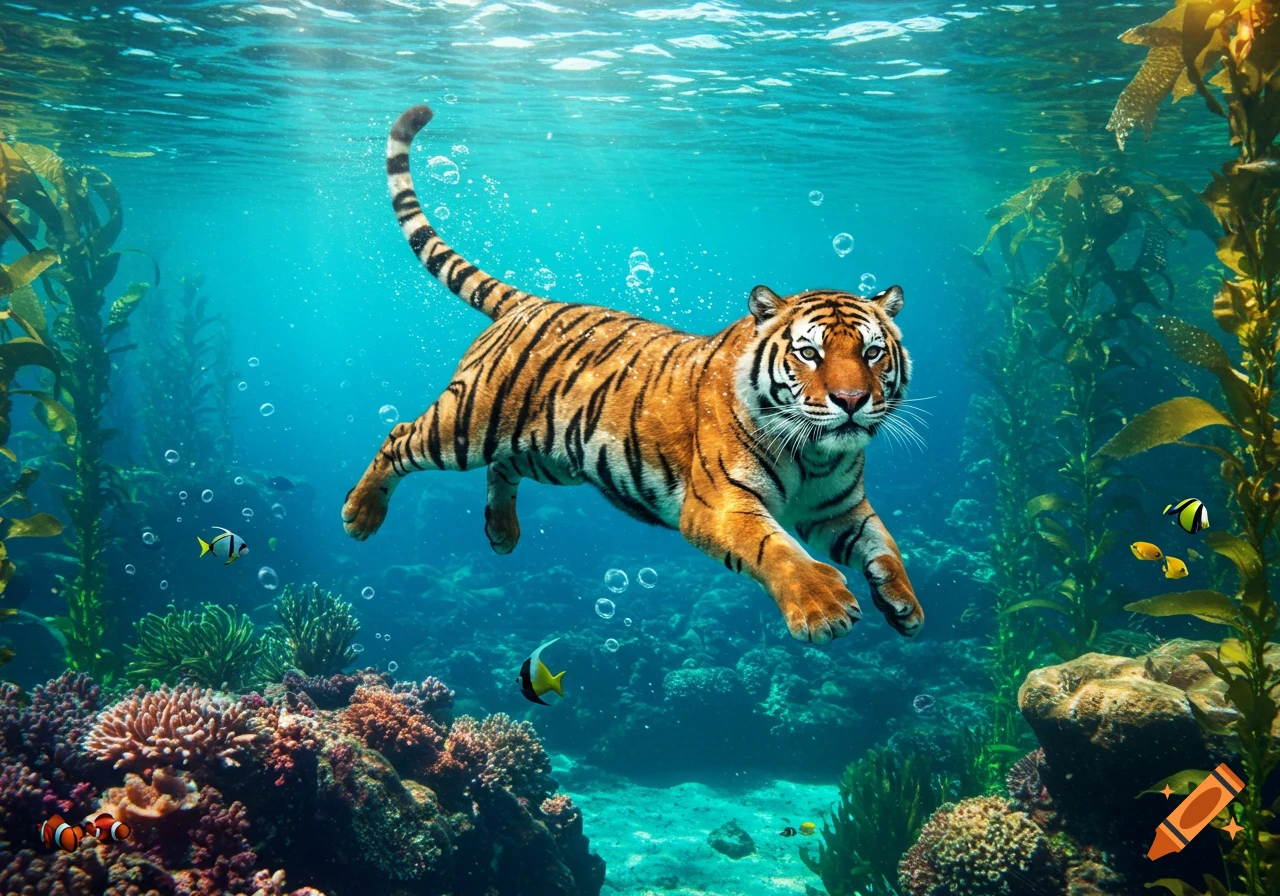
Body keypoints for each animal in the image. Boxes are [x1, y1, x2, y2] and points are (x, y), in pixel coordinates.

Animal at [342, 104, 924, 644]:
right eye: (809, 354)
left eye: (872, 353)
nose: (851, 400)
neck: (817, 455)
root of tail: (529, 302)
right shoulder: (719, 505)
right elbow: (776, 549)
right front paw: (823, 605)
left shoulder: (839, 510)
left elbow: (884, 545)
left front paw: (905, 605)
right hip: (467, 425)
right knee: (400, 437)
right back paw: (360, 513)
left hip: (551, 452)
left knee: (502, 467)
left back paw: (502, 532)